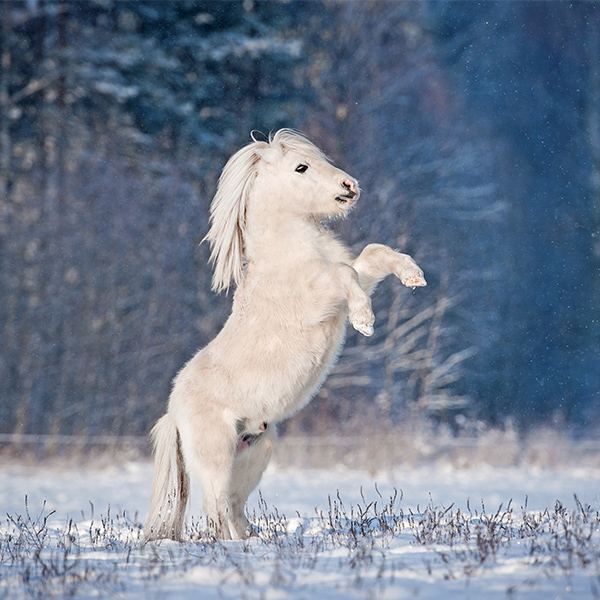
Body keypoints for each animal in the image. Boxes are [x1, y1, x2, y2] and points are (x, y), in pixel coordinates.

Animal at [145, 129, 426, 540]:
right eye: (301, 167)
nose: (350, 186)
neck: (290, 255)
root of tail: (173, 411)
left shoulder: (347, 284)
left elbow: (371, 256)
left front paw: (413, 276)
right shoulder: (319, 299)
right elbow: (345, 271)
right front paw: (365, 321)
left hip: (254, 453)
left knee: (233, 507)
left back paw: (255, 541)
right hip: (216, 455)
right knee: (215, 509)